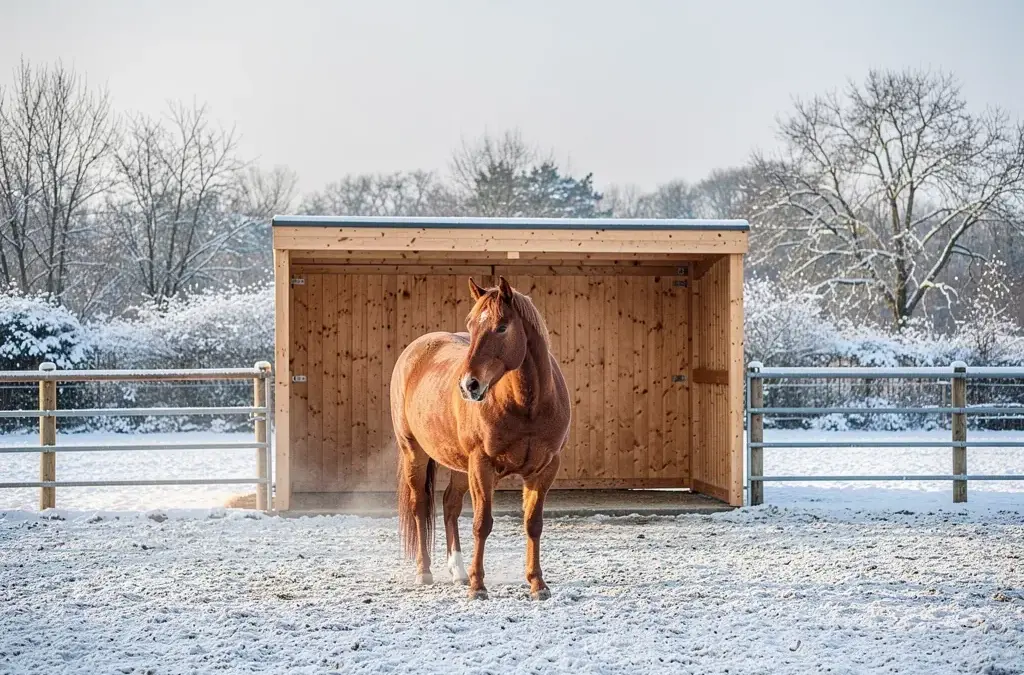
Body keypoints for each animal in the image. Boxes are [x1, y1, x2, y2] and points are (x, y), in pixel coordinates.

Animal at [390, 276, 571, 600]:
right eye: (471, 324)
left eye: (502, 326)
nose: (468, 385)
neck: (526, 405)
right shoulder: (482, 465)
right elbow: (481, 524)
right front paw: (478, 586)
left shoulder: (544, 469)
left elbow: (533, 524)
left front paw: (537, 584)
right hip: (414, 453)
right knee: (420, 505)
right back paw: (425, 572)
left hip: (461, 465)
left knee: (449, 505)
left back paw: (458, 572)